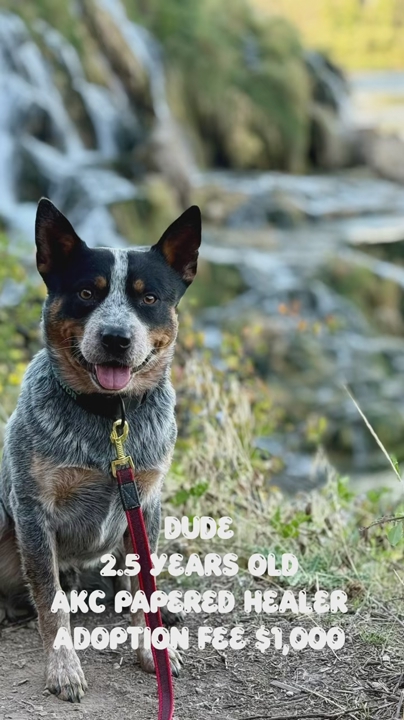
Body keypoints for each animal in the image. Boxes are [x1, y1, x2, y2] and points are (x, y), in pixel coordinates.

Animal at [0, 198, 201, 701]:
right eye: (87, 293)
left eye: (148, 298)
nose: (115, 338)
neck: (111, 419)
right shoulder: (32, 509)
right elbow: (51, 602)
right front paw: (63, 668)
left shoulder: (146, 501)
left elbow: (144, 585)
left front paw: (153, 650)